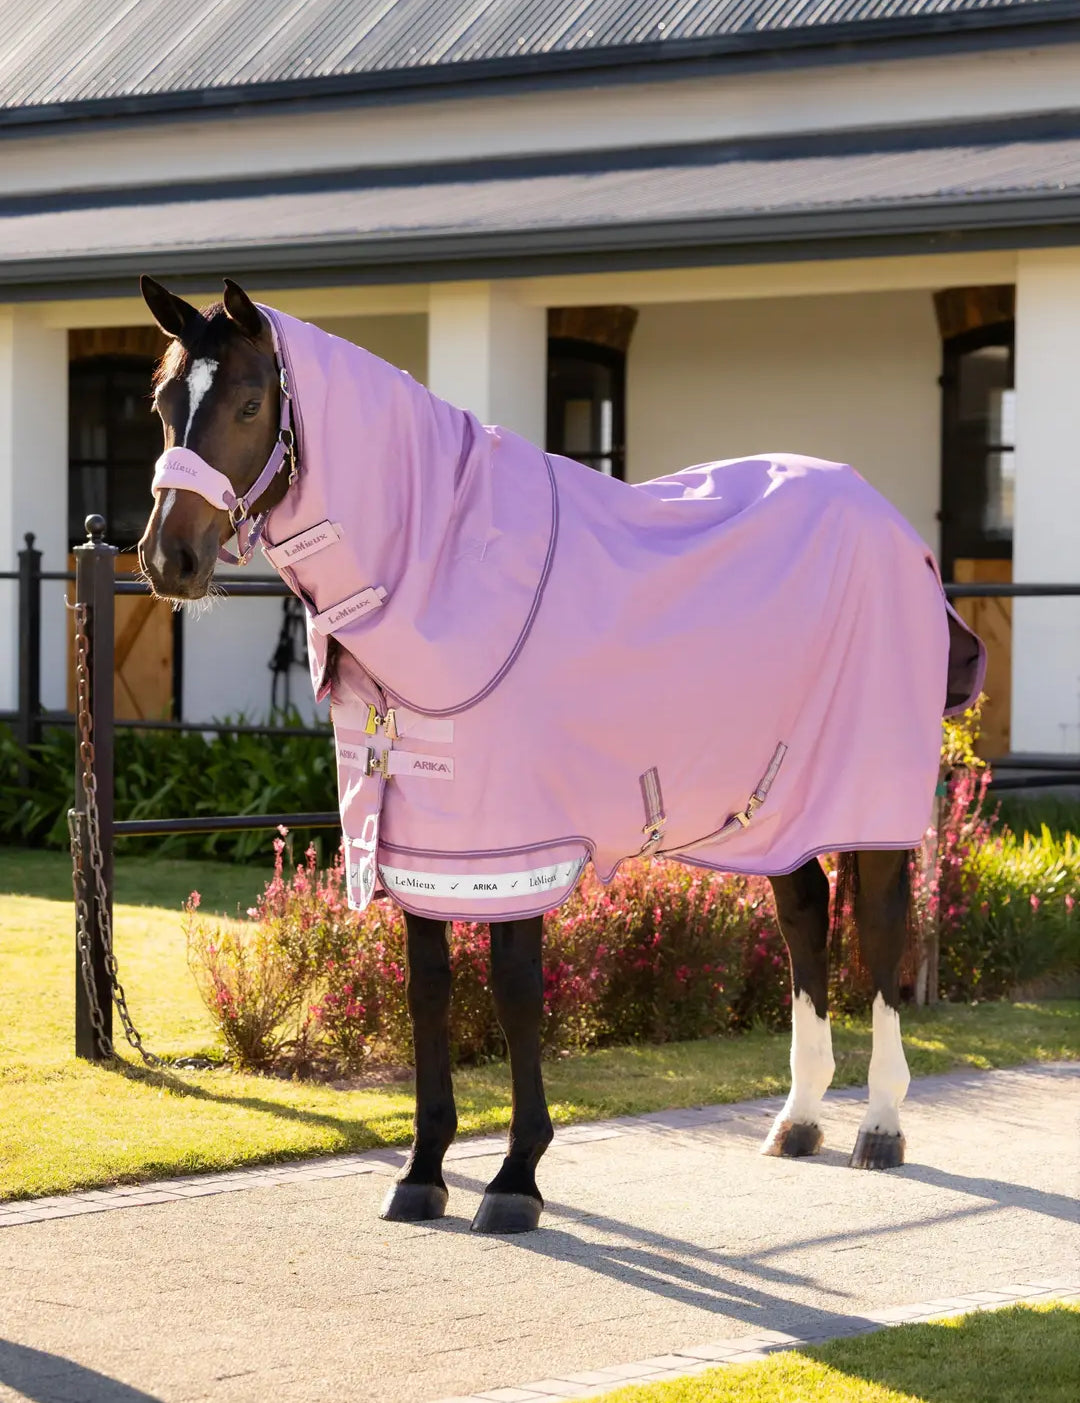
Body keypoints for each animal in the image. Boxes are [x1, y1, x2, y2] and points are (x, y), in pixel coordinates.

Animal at [136, 275, 985, 1235]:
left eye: (249, 403)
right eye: (164, 405)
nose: (169, 557)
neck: (449, 569)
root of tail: (899, 533)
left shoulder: (518, 843)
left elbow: (513, 992)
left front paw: (515, 1179)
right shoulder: (426, 845)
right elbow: (428, 990)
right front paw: (422, 1173)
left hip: (869, 802)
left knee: (881, 934)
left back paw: (879, 1124)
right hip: (781, 806)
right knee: (805, 921)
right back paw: (798, 1119)